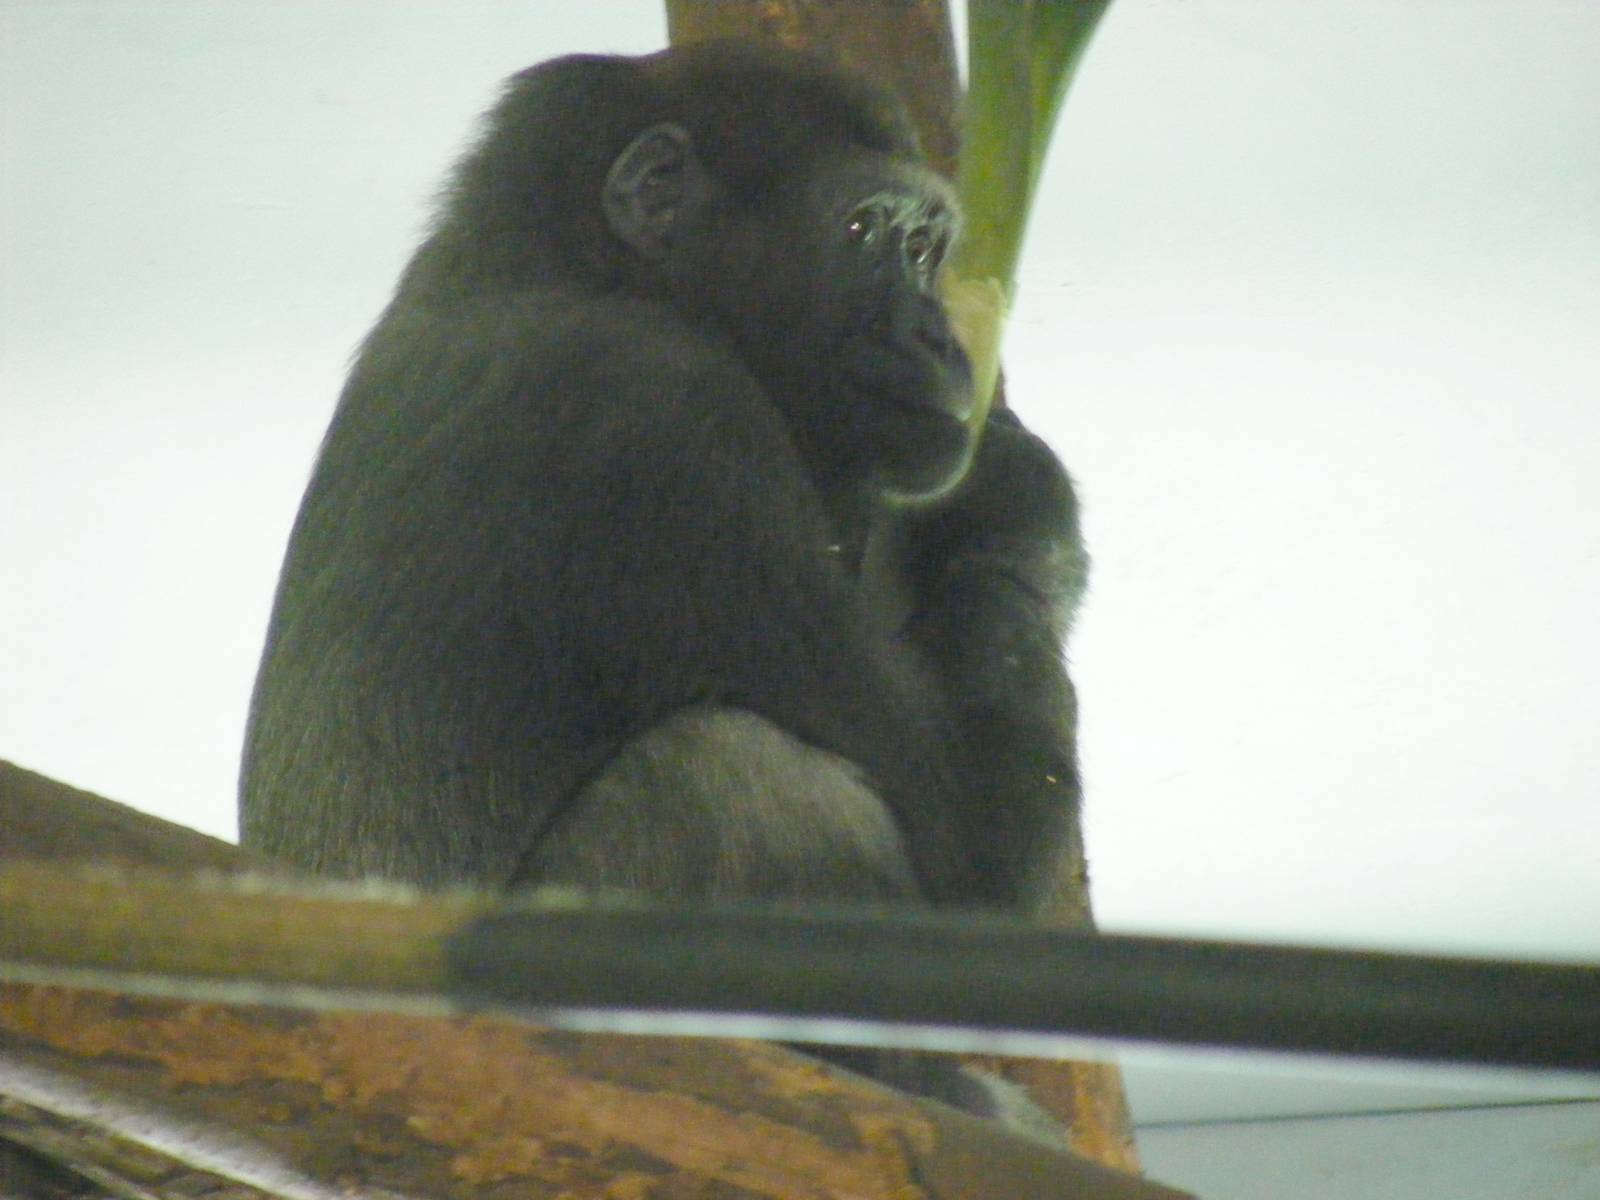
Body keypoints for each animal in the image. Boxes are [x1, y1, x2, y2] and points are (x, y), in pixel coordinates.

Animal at [242, 42, 1087, 1123]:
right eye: (866, 231)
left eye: (927, 245)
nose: (941, 341)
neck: (567, 260)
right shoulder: (669, 421)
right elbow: (972, 846)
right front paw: (1010, 493)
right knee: (736, 778)